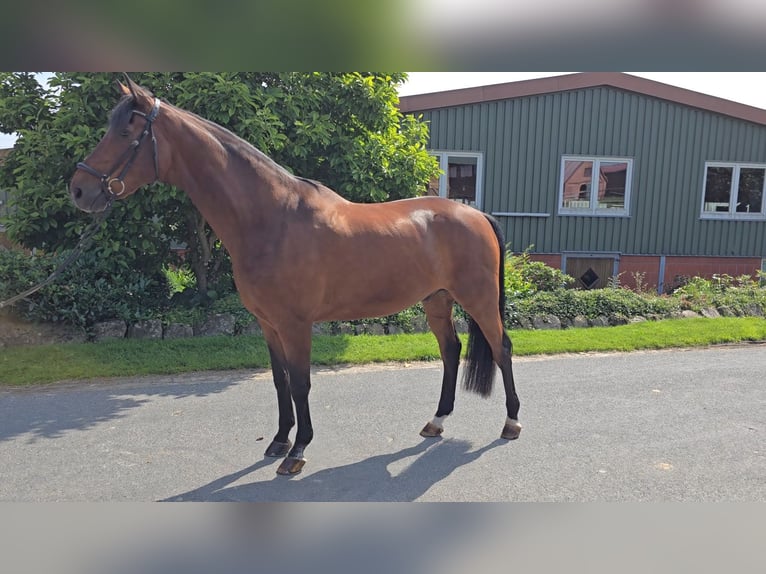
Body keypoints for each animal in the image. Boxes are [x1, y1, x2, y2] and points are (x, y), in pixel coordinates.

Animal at [69, 76, 520, 476]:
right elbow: (279, 380)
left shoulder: (295, 323)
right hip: (437, 300)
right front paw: (279, 440)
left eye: (127, 131)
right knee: (450, 350)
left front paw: (298, 451)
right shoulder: (268, 324)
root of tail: (476, 214)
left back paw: (511, 423)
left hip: (477, 299)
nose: (78, 190)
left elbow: (301, 383)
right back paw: (436, 421)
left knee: (501, 348)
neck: (273, 219)